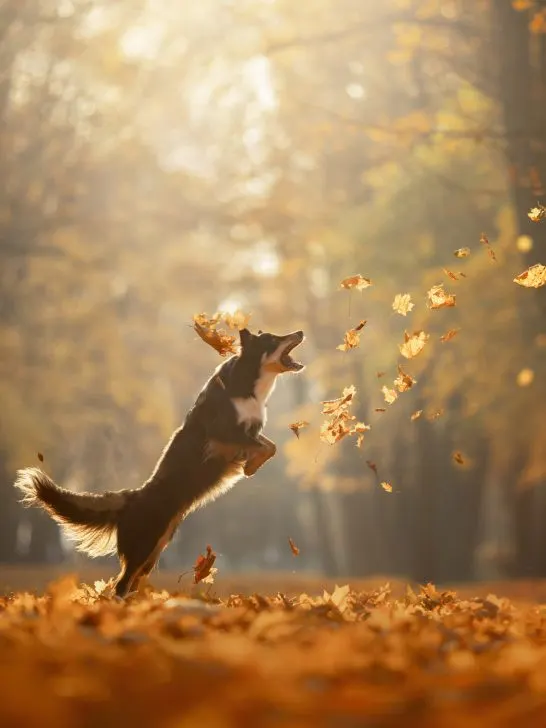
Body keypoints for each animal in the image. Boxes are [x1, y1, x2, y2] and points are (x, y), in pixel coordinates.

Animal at [13, 328, 302, 596]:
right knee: (121, 585)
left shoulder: (247, 432)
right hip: (144, 546)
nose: (299, 332)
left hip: (154, 552)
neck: (248, 382)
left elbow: (269, 445)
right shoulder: (222, 433)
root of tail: (132, 498)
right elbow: (264, 445)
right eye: (273, 339)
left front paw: (251, 467)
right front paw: (251, 466)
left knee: (130, 583)